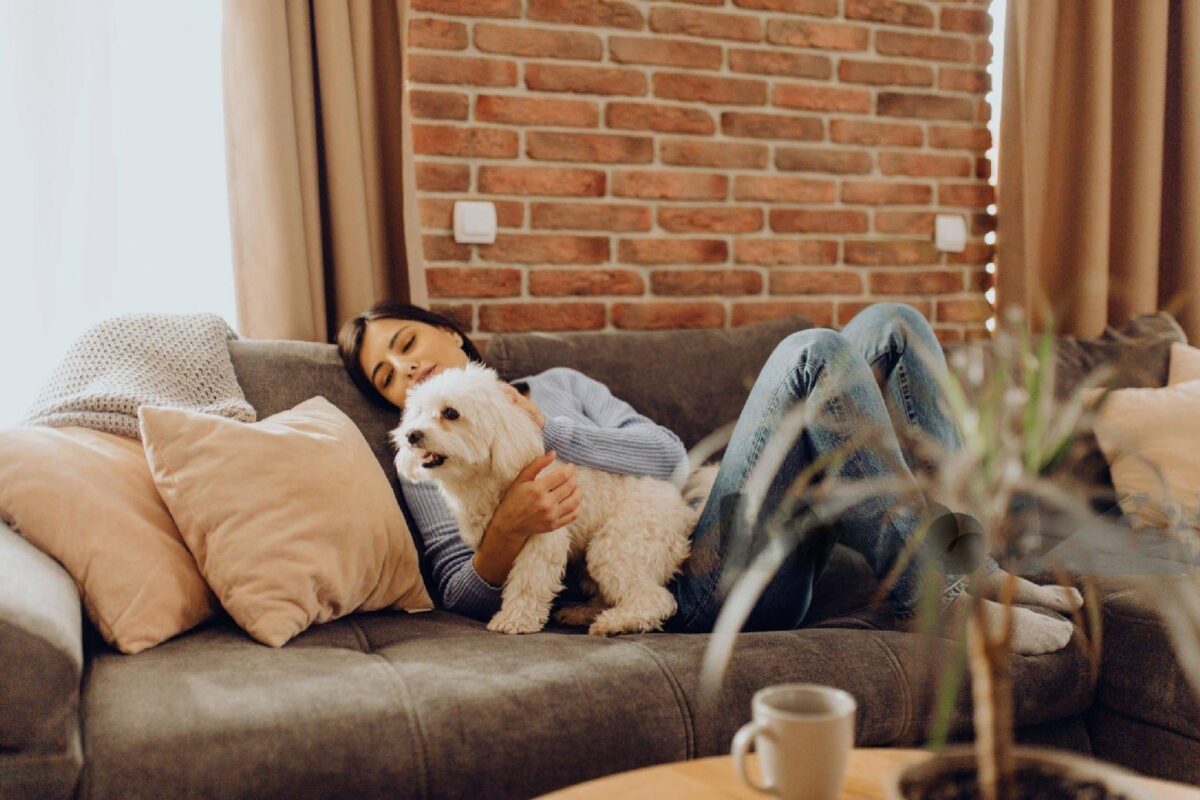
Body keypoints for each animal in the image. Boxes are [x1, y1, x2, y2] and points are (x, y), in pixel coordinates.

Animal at [388, 364, 705, 638]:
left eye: (451, 413)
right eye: (418, 412)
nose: (411, 435)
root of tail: (684, 513)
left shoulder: (543, 536)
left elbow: (528, 581)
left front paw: (514, 620)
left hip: (618, 546)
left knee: (655, 600)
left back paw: (615, 623)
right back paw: (583, 613)